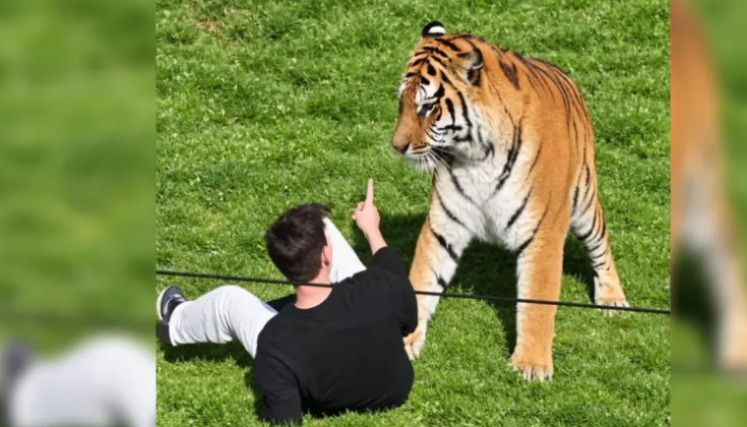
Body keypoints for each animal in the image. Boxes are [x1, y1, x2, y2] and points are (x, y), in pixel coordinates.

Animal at [390, 21, 628, 381]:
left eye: (428, 107)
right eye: (402, 102)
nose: (397, 146)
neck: (476, 156)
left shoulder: (543, 232)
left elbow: (537, 301)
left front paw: (530, 365)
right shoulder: (443, 226)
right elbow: (422, 280)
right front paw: (403, 341)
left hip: (584, 200)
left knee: (601, 244)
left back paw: (613, 299)